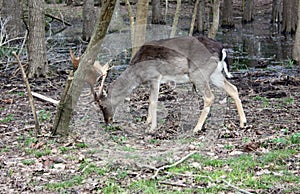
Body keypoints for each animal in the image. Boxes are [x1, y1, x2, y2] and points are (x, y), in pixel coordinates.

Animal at [95, 35, 246, 133]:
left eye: (102, 105)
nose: (107, 121)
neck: (137, 73)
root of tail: (222, 50)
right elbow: (150, 100)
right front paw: (147, 121)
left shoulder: (155, 76)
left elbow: (153, 101)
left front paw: (152, 128)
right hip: (215, 73)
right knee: (233, 88)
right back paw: (243, 123)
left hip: (198, 73)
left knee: (210, 97)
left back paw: (197, 128)